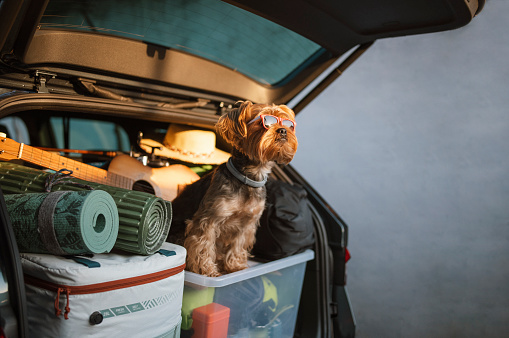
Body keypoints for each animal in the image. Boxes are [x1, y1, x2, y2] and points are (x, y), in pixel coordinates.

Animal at [170, 99, 298, 274]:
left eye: (288, 124)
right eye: (264, 122)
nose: (283, 130)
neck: (249, 178)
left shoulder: (247, 224)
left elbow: (238, 243)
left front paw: (235, 266)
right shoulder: (209, 219)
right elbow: (203, 243)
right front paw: (207, 270)